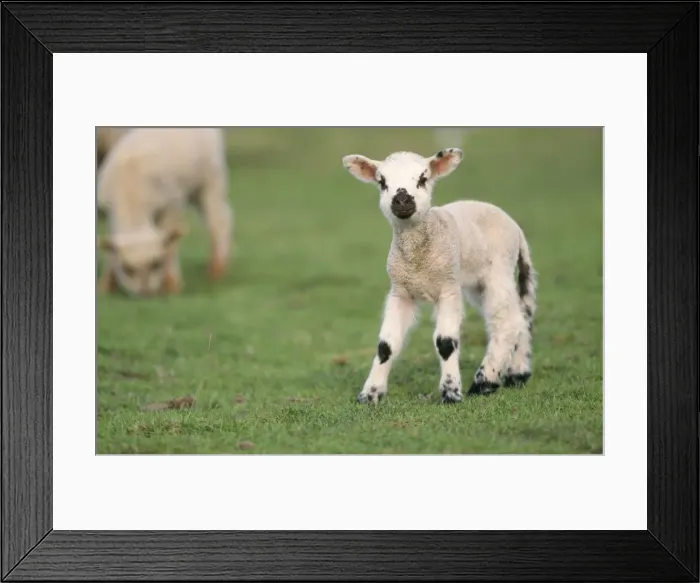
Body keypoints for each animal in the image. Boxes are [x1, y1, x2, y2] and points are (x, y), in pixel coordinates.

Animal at [97, 127, 234, 297]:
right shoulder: (109, 212)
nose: (145, 294)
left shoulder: (172, 205)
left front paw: (171, 286)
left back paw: (217, 270)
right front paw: (105, 287)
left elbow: (170, 245)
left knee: (219, 221)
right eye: (127, 269)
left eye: (157, 263)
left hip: (211, 181)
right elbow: (110, 250)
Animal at [341, 147, 537, 404]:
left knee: (507, 322)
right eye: (382, 182)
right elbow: (386, 346)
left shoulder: (448, 288)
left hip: (498, 270)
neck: (418, 259)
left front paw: (451, 392)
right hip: (477, 283)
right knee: (519, 316)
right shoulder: (400, 291)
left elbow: (445, 343)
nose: (401, 200)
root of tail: (517, 229)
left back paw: (485, 381)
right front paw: (370, 394)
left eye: (423, 179)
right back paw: (517, 373)